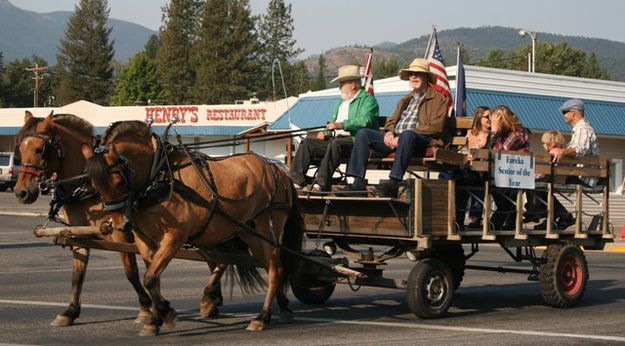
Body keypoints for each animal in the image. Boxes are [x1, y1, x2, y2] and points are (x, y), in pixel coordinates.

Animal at [83, 121, 304, 336]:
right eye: (95, 185)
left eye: (119, 181)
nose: (118, 224)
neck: (158, 176)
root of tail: (278, 170)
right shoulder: (144, 241)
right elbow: (153, 279)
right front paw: (155, 320)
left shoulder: (174, 237)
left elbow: (150, 278)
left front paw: (167, 313)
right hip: (249, 233)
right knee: (270, 266)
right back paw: (280, 308)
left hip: (267, 228)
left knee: (275, 270)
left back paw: (261, 317)